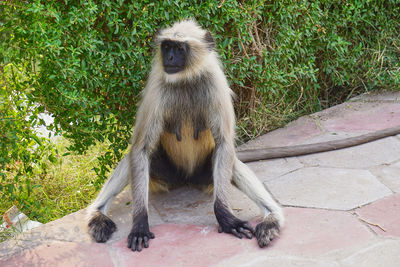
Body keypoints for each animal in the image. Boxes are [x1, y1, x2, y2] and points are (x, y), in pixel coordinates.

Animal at [86, 19, 284, 252]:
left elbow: (224, 143)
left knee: (230, 160)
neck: (185, 80)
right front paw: (140, 224)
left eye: (180, 48)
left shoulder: (215, 84)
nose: (169, 58)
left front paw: (225, 217)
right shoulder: (156, 89)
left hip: (206, 177)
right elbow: (140, 148)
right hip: (164, 176)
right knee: (134, 156)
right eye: (167, 46)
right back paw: (97, 214)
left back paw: (272, 219)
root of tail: (186, 179)